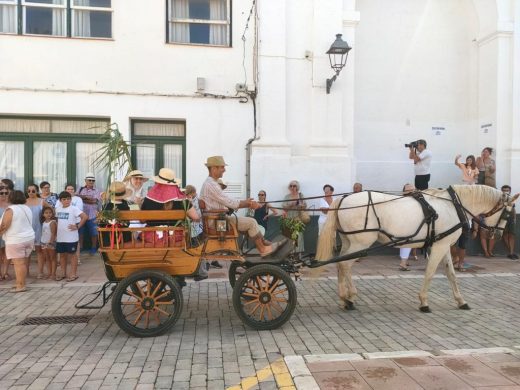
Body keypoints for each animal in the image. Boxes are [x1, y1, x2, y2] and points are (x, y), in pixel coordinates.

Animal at [314, 184, 516, 312]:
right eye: (507, 213)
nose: (497, 235)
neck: (453, 205)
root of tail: (343, 199)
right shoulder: (439, 246)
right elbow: (430, 273)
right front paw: (424, 302)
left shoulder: (443, 245)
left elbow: (451, 274)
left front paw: (461, 301)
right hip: (361, 243)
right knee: (345, 265)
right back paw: (349, 297)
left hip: (349, 242)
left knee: (340, 265)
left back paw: (345, 299)